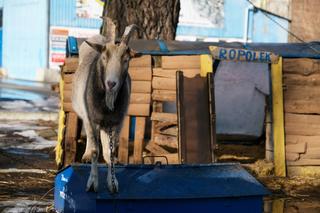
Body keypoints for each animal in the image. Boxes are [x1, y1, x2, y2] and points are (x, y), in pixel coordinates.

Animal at [72, 25, 137, 194]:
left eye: (126, 59)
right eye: (104, 57)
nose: (111, 83)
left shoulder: (116, 122)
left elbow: (111, 152)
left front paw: (112, 183)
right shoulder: (91, 119)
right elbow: (96, 150)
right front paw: (92, 184)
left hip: (105, 125)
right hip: (86, 115)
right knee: (91, 140)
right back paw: (86, 155)